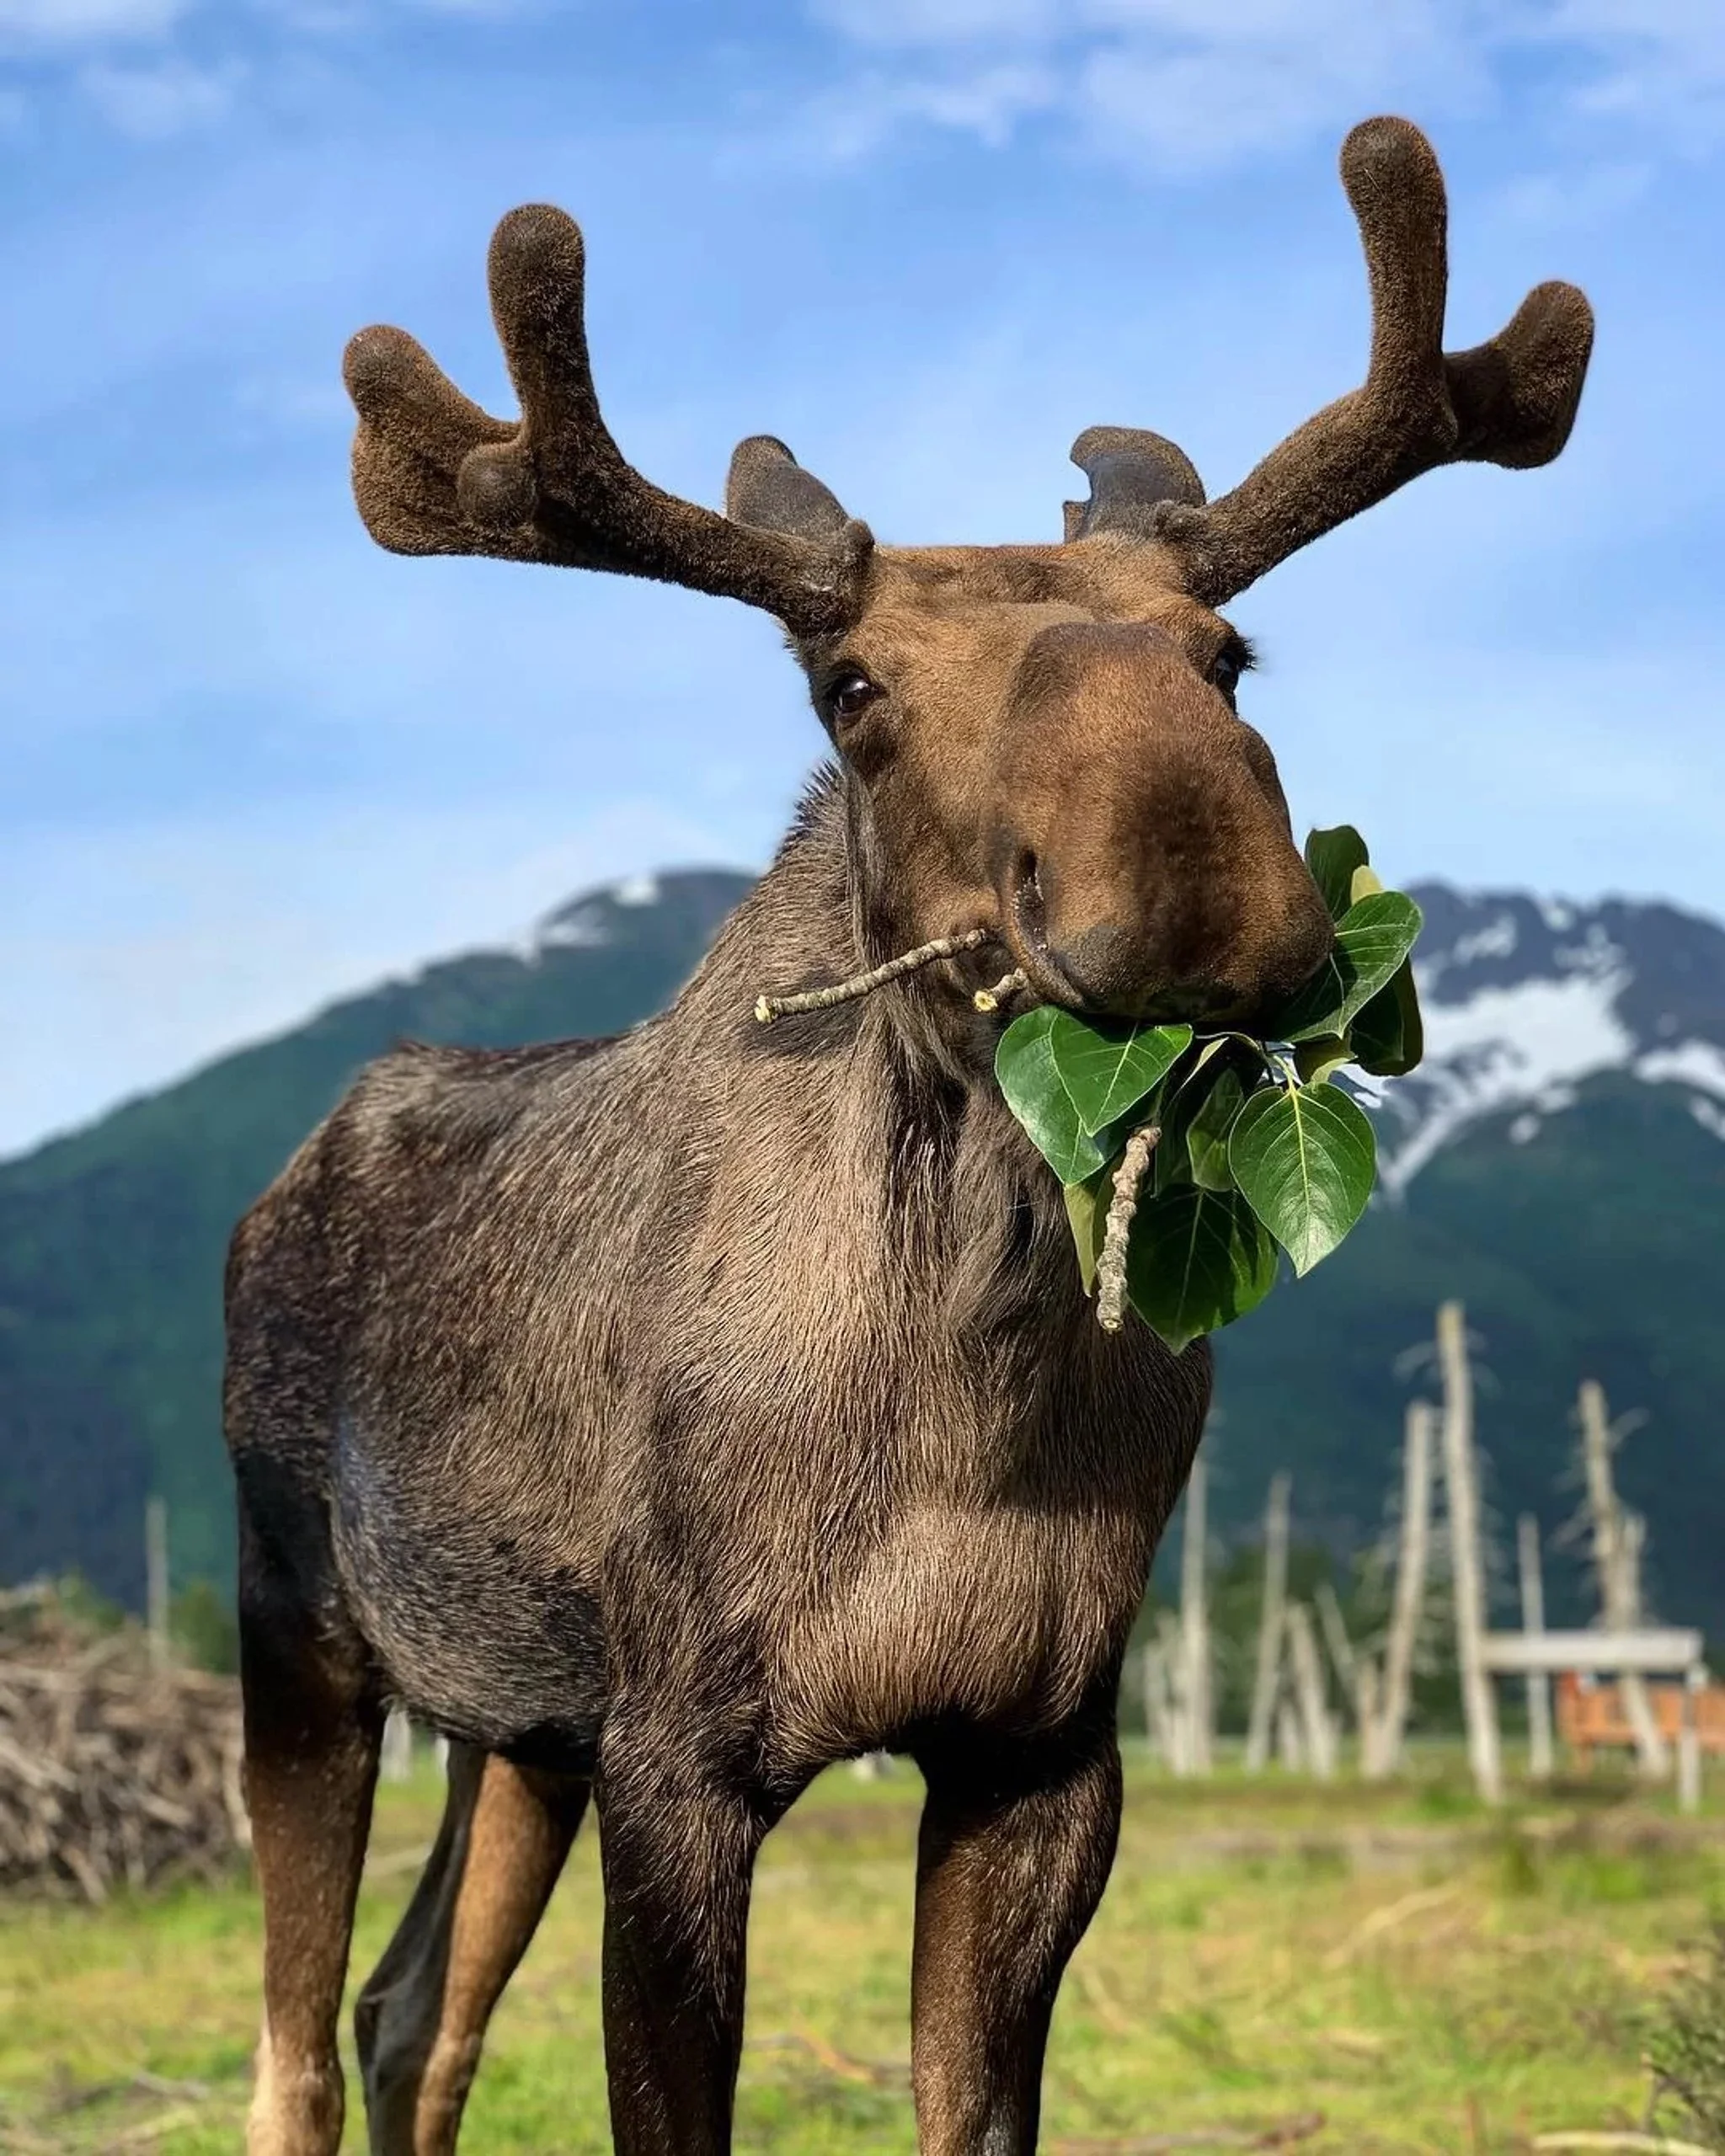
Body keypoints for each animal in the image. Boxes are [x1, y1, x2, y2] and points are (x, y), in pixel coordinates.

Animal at [225, 116, 1591, 2156]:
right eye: (849, 689)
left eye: (1227, 651)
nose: (1191, 860)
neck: (972, 1399)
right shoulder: (680, 1751)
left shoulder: (1042, 1743)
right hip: (303, 1627)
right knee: (299, 2046)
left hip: (515, 1722)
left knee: (413, 2015)